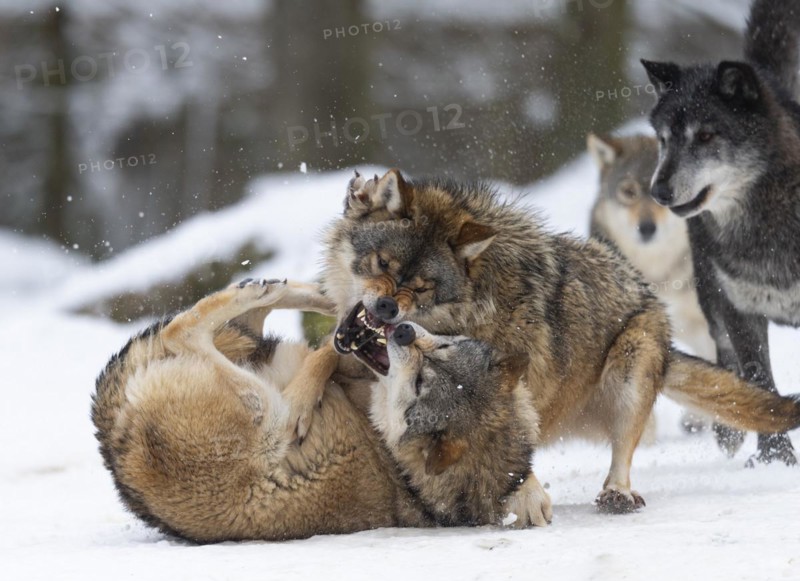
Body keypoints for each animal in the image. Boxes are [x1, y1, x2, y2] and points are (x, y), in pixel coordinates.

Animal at [290, 168, 800, 520]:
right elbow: (326, 352)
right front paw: (298, 403)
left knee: (624, 449)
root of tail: (653, 304)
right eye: (382, 263)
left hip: (630, 365)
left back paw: (617, 493)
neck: (467, 313)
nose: (387, 310)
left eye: (420, 288)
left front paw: (526, 494)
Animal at [642, 0, 800, 464]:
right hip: (710, 300)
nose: (658, 191)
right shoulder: (739, 311)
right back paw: (727, 430)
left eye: (707, 135)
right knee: (724, 359)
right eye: (663, 139)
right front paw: (775, 460)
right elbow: (758, 378)